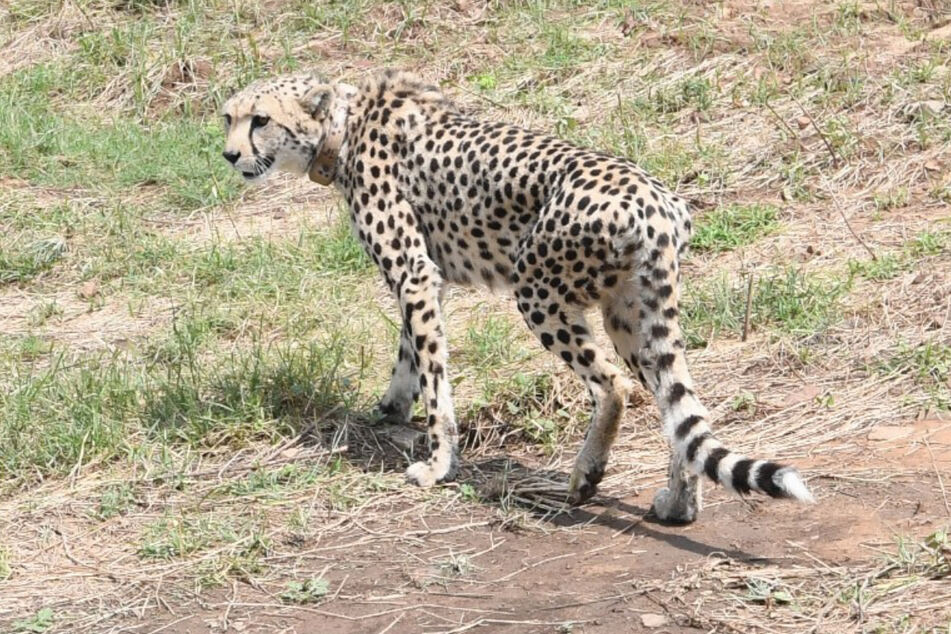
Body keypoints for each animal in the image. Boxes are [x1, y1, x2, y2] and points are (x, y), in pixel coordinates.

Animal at [219, 70, 816, 524]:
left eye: (261, 119)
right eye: (229, 117)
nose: (228, 155)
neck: (341, 126)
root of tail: (657, 200)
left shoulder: (413, 271)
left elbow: (435, 377)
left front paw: (438, 463)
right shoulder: (426, 277)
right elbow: (411, 352)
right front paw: (391, 407)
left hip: (538, 289)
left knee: (614, 385)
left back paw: (585, 476)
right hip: (630, 310)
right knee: (679, 406)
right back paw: (677, 504)